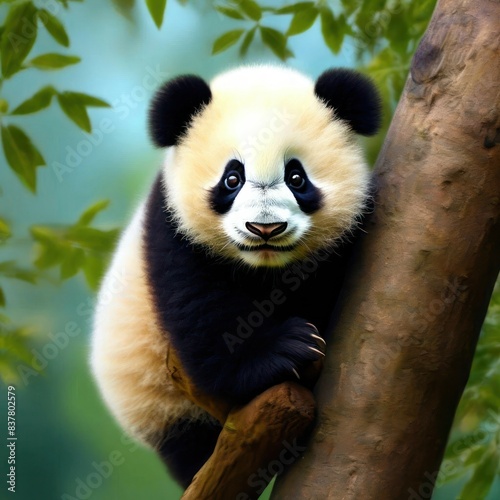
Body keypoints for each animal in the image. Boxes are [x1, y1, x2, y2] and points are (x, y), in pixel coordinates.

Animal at [90, 62, 380, 488]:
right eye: (232, 178)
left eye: (296, 177)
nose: (265, 228)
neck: (265, 269)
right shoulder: (174, 231)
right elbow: (202, 311)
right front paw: (286, 348)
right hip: (159, 400)